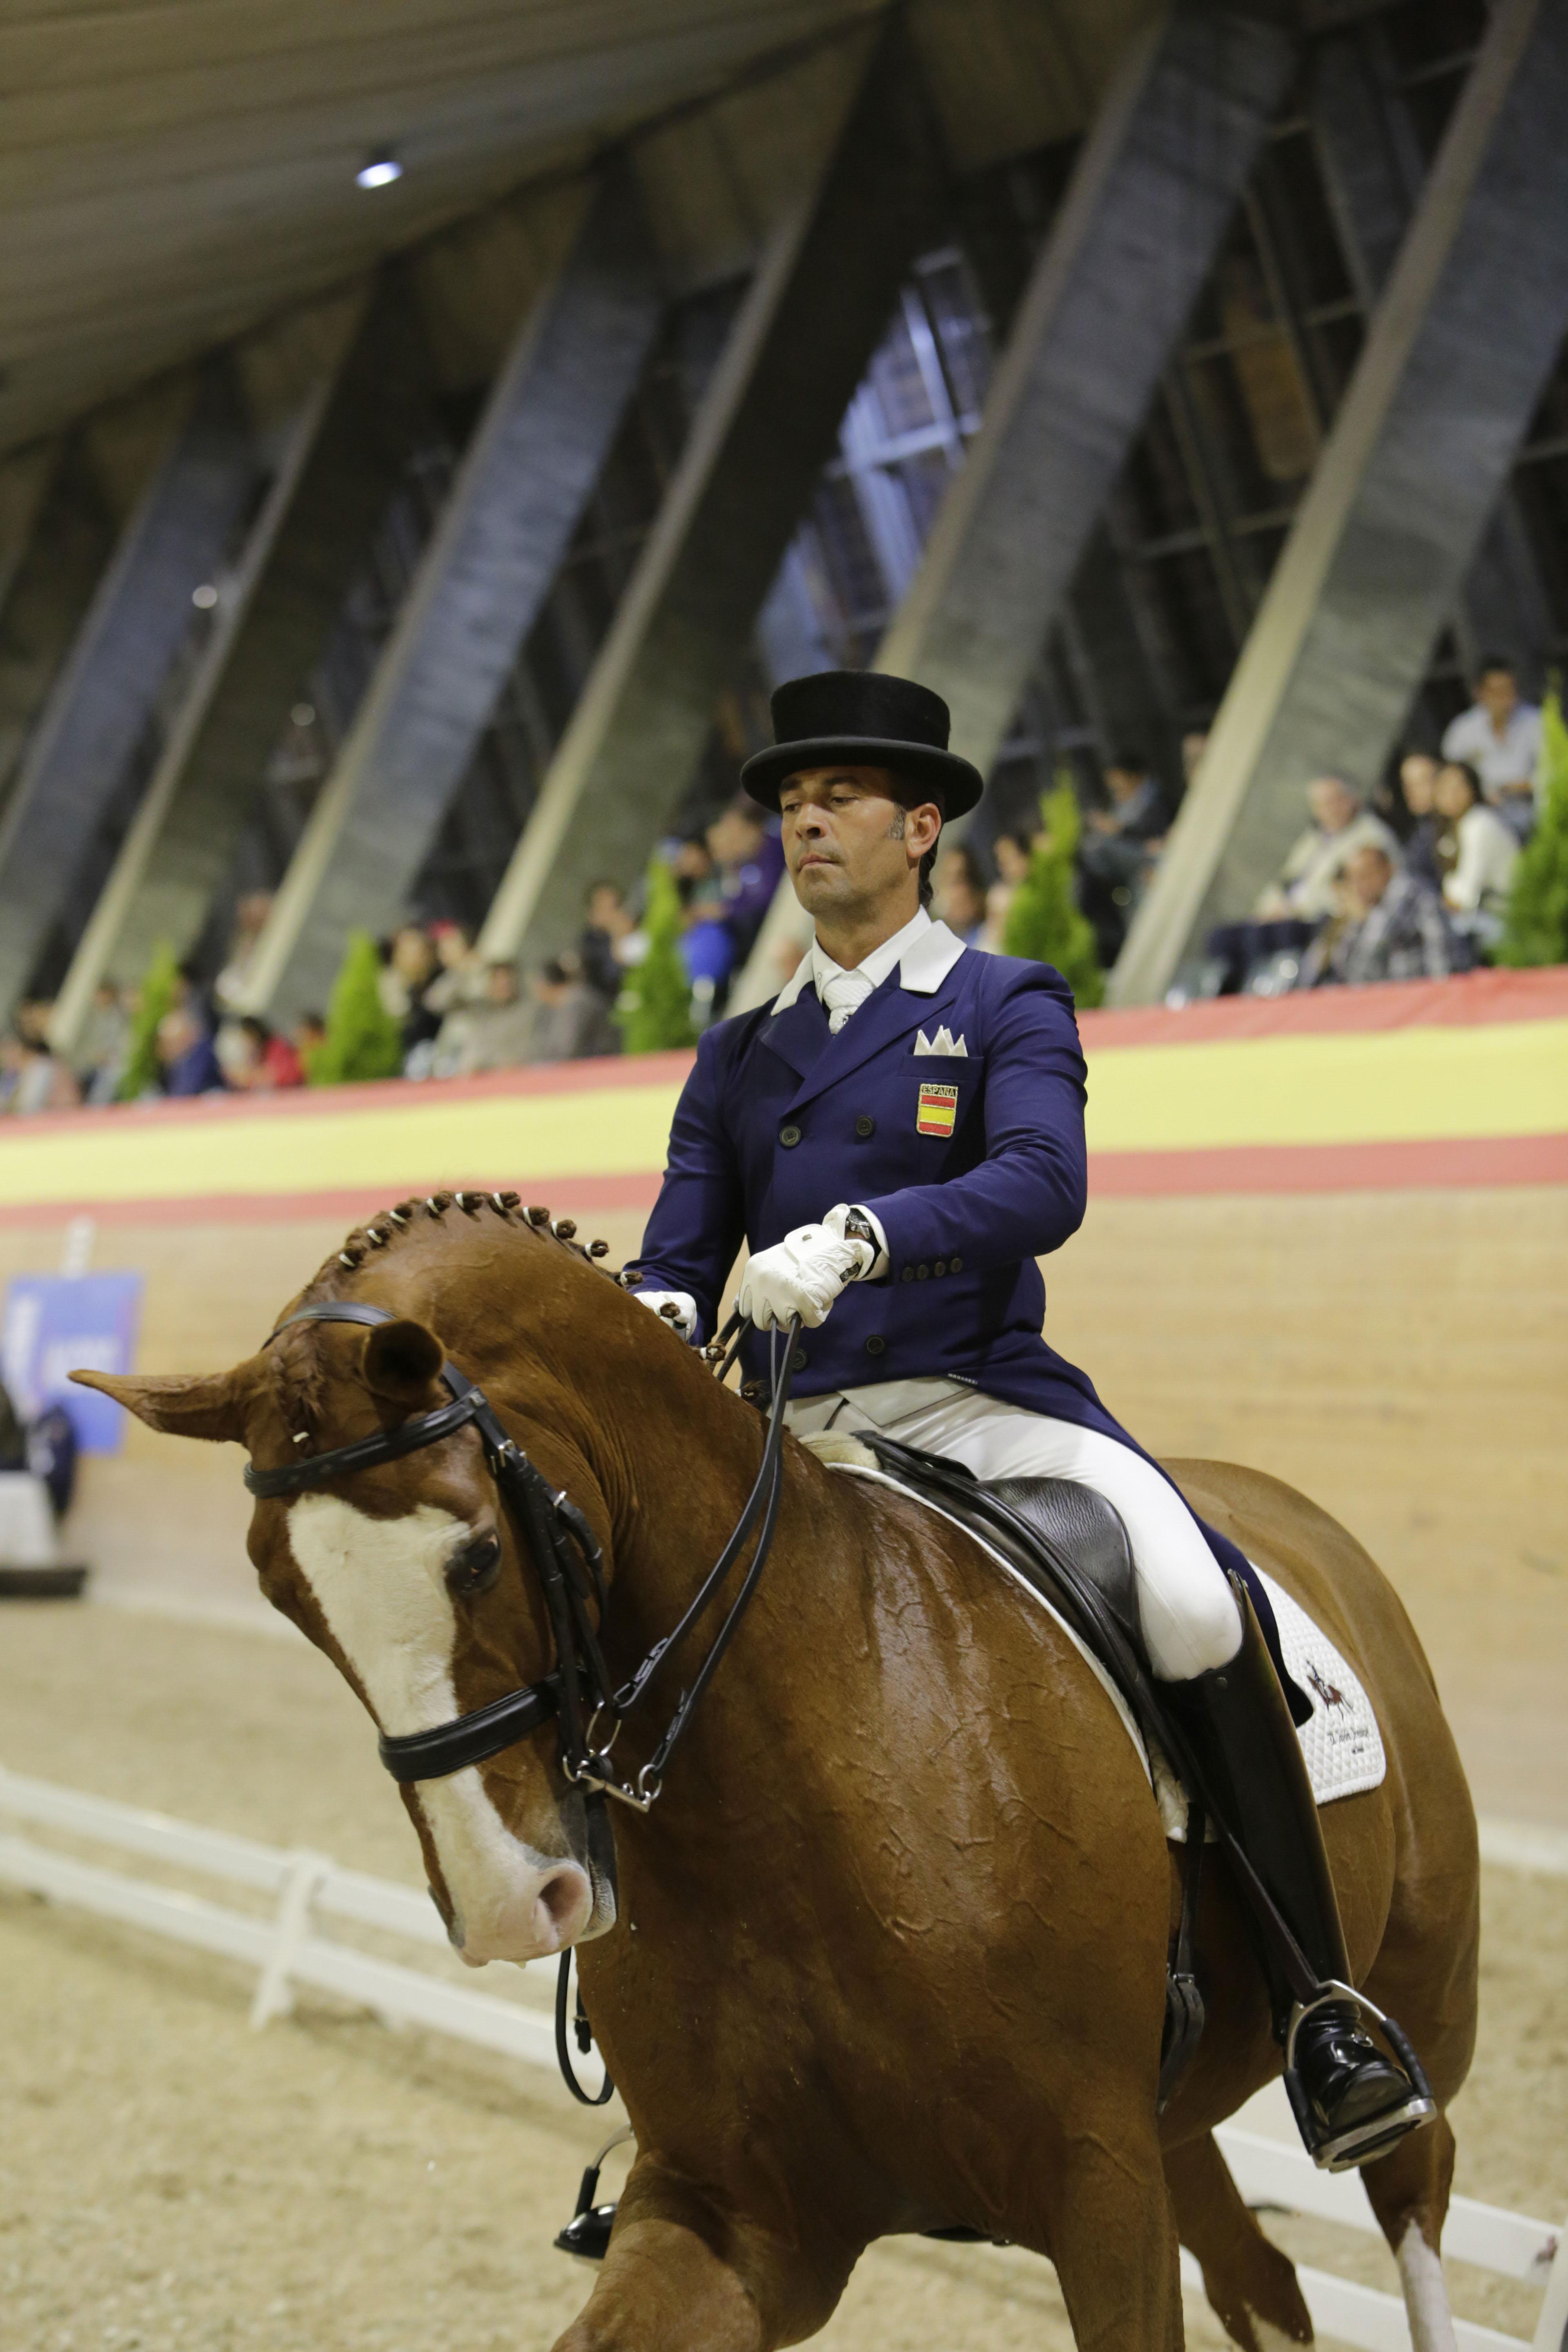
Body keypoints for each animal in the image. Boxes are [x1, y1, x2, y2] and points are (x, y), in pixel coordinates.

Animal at [82, 1204, 1486, 2342]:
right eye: (285, 1591)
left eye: (477, 1553)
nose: (509, 1906)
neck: (787, 1790)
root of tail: (1286, 1511)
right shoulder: (741, 2215)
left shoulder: (1099, 2180)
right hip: (1182, 2121)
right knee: (1266, 2284)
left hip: (1411, 2006)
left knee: (1410, 2185)